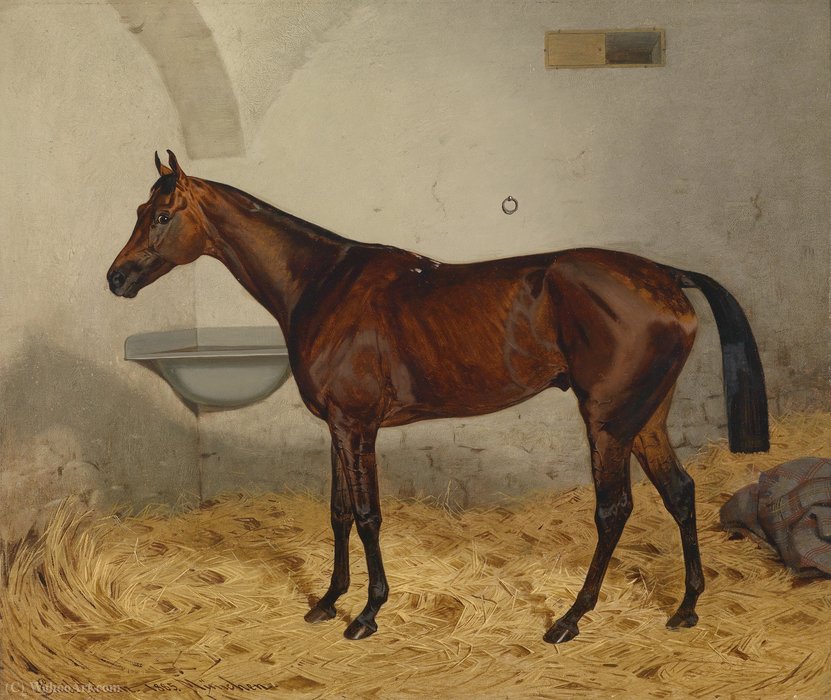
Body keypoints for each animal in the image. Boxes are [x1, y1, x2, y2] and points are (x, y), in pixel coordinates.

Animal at [108, 151, 769, 643]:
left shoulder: (357, 425)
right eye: (140, 209)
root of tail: (666, 276)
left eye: (162, 214)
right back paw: (686, 606)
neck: (322, 283)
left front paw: (368, 612)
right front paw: (327, 600)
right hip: (646, 416)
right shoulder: (336, 427)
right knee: (680, 493)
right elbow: (338, 512)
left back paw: (570, 618)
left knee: (614, 510)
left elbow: (367, 515)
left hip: (607, 419)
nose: (116, 278)